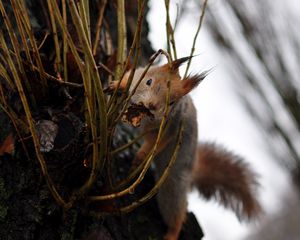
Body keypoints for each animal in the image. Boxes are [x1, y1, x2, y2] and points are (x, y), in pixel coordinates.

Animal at [107, 56, 260, 240]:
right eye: (148, 81)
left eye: (172, 102)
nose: (152, 106)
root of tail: (192, 170)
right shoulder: (138, 74)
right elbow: (129, 76)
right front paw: (116, 84)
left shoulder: (169, 128)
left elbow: (154, 144)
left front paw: (140, 156)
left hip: (173, 187)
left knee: (177, 215)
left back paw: (171, 235)